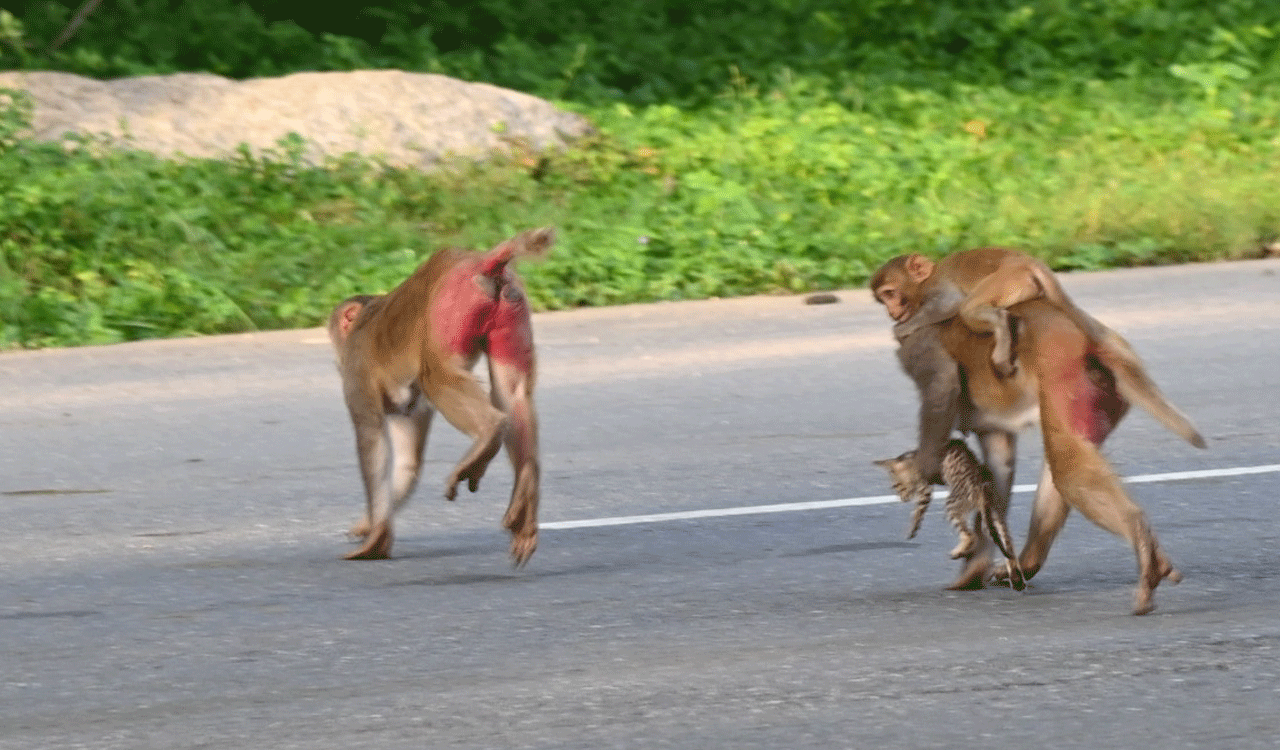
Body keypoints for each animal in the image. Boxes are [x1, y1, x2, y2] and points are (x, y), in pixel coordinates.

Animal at [327, 226, 554, 564]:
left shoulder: (357, 374)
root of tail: (479, 261)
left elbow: (372, 443)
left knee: (436, 377)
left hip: (448, 311)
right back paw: (526, 490)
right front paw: (372, 525)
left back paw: (489, 431)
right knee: (514, 393)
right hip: (511, 308)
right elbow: (407, 464)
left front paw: (376, 540)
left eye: (336, 339)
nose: (336, 361)